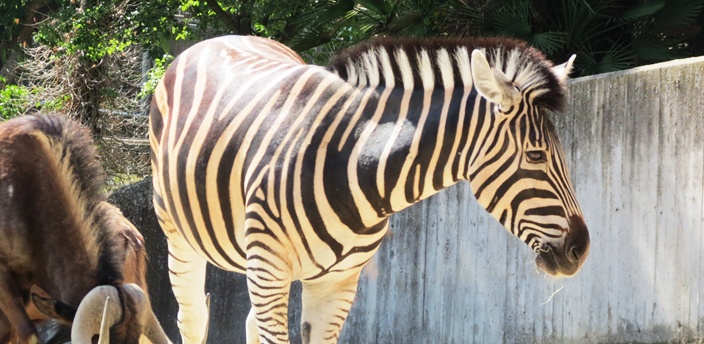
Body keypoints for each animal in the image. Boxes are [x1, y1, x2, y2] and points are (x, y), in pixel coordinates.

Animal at [148, 35, 588, 344]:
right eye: (535, 155)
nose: (580, 250)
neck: (353, 165)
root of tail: (214, 40)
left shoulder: (338, 283)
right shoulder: (272, 269)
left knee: (249, 322)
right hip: (182, 238)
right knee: (192, 319)